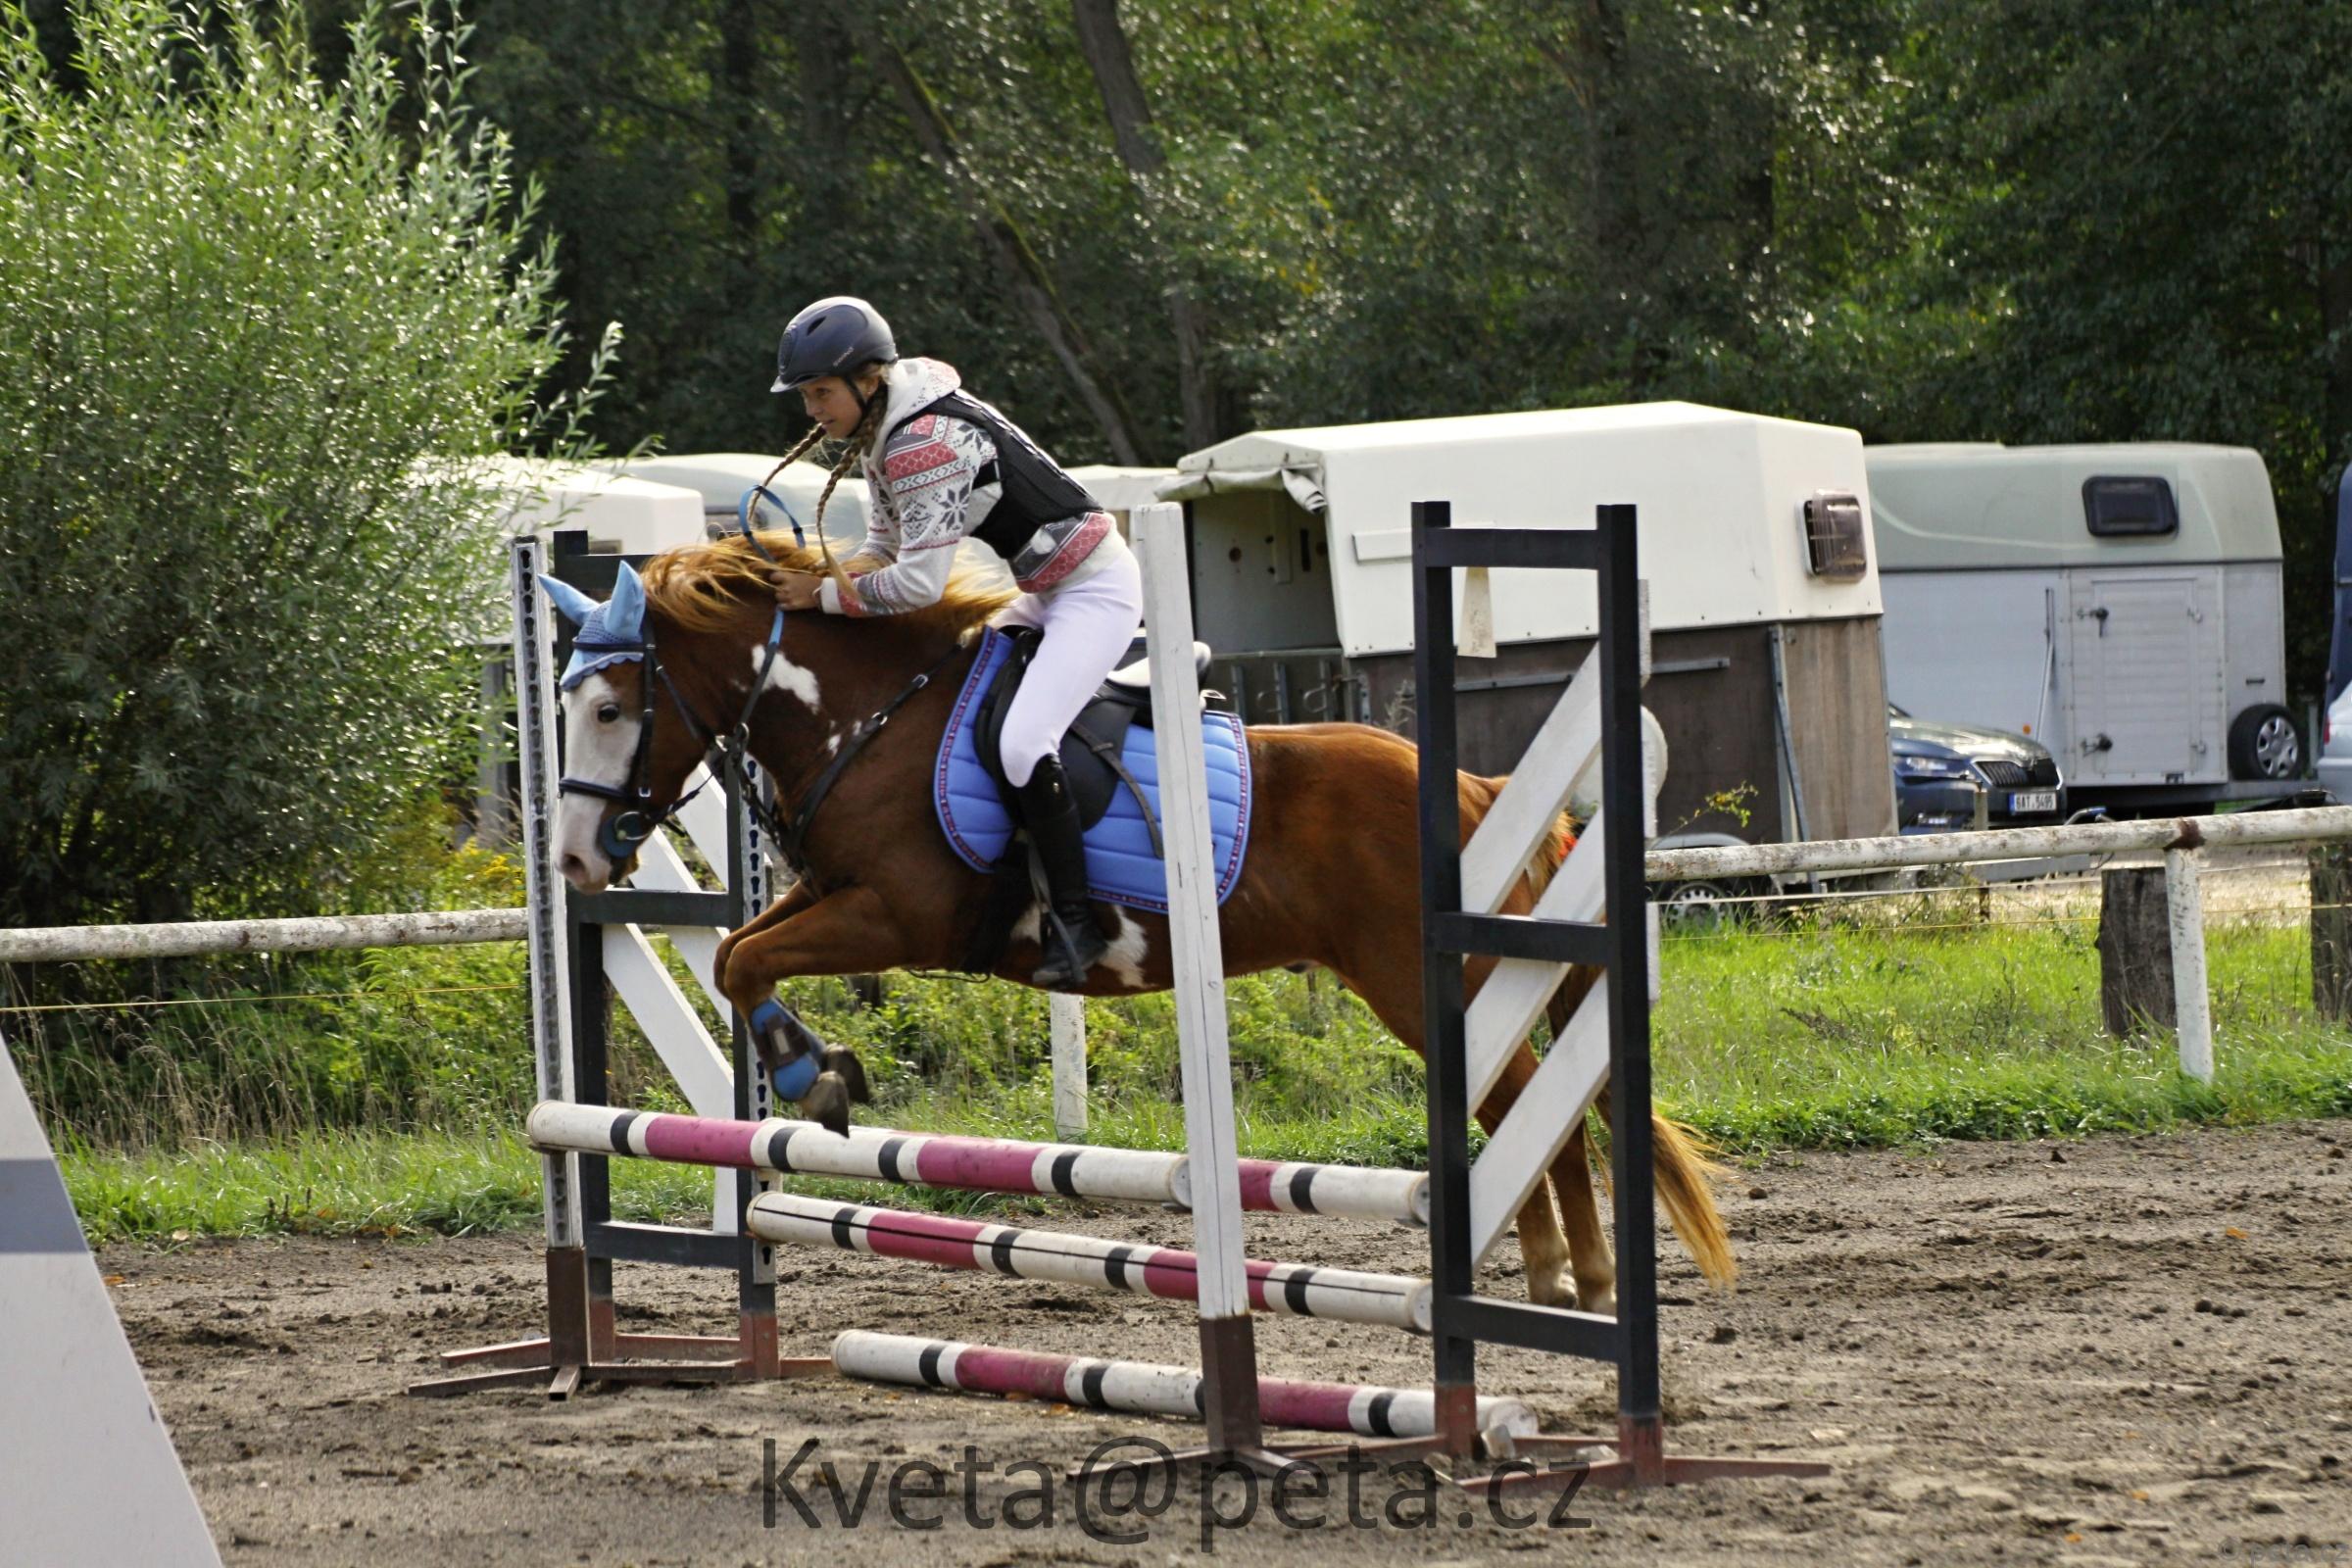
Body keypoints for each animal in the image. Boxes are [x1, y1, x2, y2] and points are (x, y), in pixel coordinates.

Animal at [544, 531, 1732, 1315]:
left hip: (1419, 977)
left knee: (1526, 1101)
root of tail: (1482, 788)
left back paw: (1565, 1280)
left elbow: (746, 963)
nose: (572, 860)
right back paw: (1564, 1276)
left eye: (609, 708)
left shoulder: (898, 915)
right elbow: (741, 956)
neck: (866, 715)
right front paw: (819, 1068)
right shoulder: (831, 895)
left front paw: (810, 1075)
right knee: (1533, 1105)